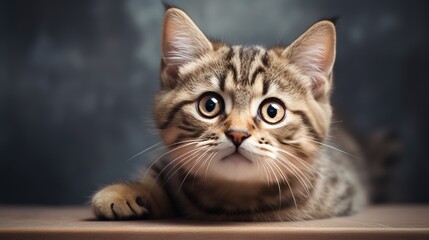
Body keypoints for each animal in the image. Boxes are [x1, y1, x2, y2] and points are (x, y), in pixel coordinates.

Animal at [92, 5, 366, 221]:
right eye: (210, 105)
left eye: (272, 110)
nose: (237, 134)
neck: (235, 197)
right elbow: (155, 177)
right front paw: (125, 191)